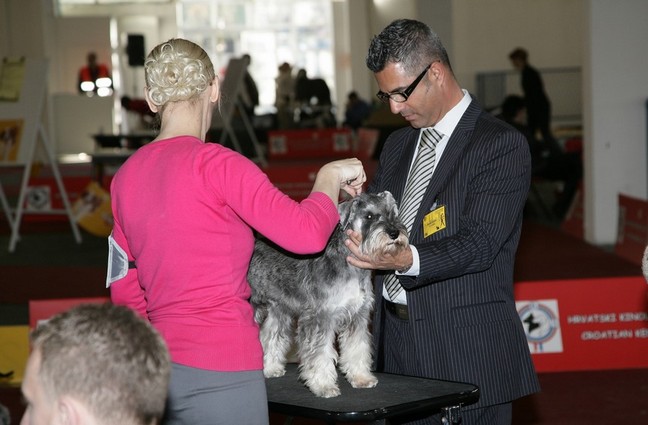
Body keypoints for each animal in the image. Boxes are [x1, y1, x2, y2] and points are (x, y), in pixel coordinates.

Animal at [247, 191, 409, 397]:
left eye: (392, 214)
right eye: (369, 216)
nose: (394, 233)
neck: (351, 265)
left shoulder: (358, 315)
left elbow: (357, 347)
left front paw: (361, 378)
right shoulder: (320, 317)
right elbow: (320, 354)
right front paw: (323, 385)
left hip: (280, 308)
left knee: (270, 335)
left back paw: (270, 368)